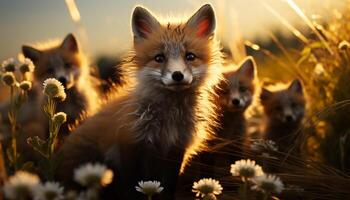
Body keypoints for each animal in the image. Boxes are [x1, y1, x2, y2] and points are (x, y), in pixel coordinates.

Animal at [57, 3, 221, 199]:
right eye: (159, 58)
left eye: (190, 56)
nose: (177, 75)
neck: (168, 121)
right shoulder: (131, 145)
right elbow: (133, 186)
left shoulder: (175, 150)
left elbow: (167, 188)